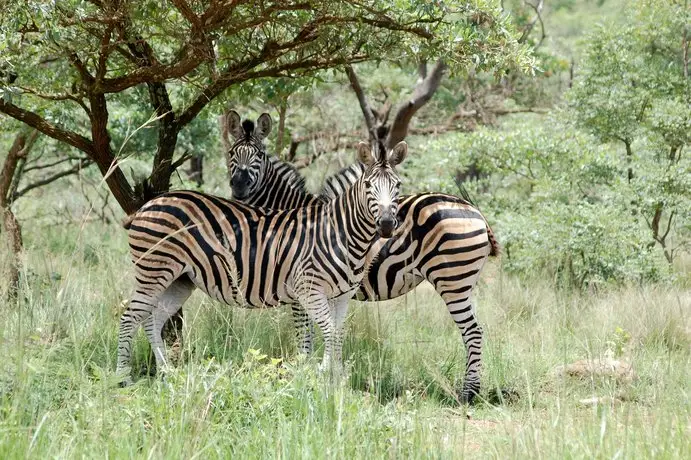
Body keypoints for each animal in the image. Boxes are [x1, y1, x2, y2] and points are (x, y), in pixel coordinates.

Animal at [115, 140, 408, 384]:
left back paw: (167, 372)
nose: (386, 224)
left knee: (152, 319)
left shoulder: (341, 296)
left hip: (179, 279)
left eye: (398, 186)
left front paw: (334, 380)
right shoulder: (308, 290)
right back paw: (123, 379)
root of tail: (148, 204)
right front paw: (326, 379)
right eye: (369, 186)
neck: (339, 233)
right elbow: (324, 333)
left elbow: (336, 333)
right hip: (153, 271)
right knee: (130, 317)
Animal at [222, 111, 498, 402]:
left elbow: (304, 335)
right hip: (464, 282)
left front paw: (304, 374)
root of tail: (474, 210)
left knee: (472, 331)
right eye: (231, 152)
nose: (238, 187)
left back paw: (468, 393)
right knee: (476, 329)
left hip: (452, 279)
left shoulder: (298, 288)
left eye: (259, 155)